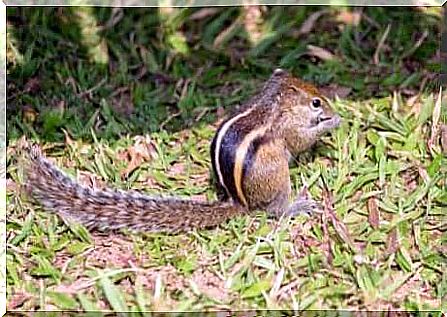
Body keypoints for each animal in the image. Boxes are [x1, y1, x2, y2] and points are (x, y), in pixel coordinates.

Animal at [21, 68, 342, 232]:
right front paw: (333, 122)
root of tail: (238, 201)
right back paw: (296, 206)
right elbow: (300, 140)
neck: (273, 104)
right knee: (275, 211)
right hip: (277, 177)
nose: (331, 108)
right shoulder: (287, 130)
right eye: (315, 102)